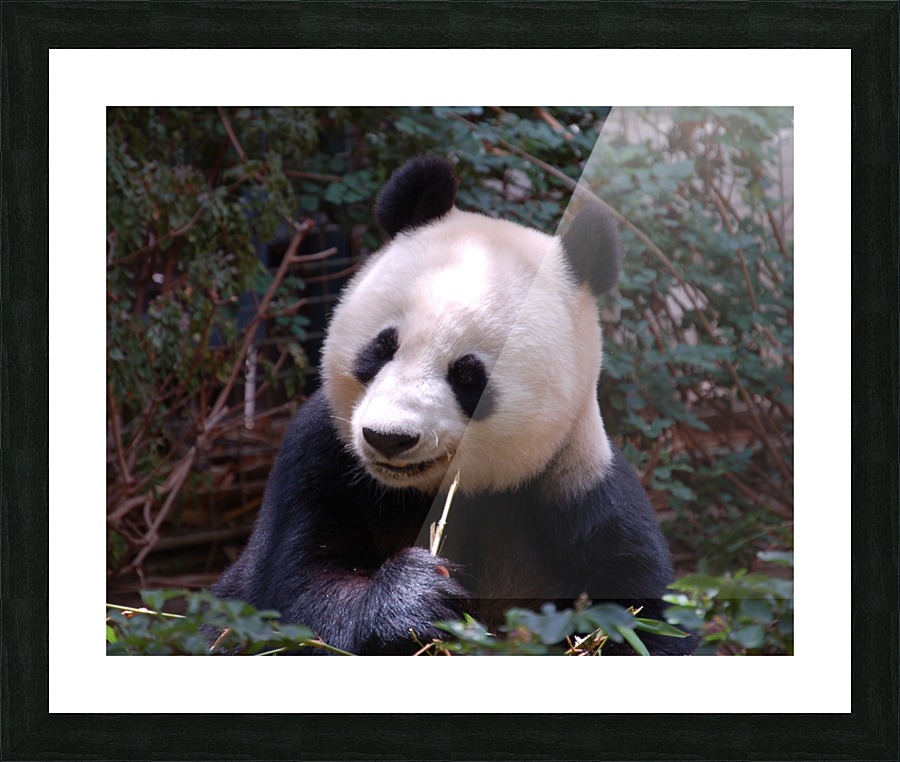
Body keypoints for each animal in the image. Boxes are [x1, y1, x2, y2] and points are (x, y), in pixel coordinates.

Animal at [212, 155, 697, 655]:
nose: (388, 438)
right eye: (381, 348)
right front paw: (416, 598)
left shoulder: (577, 489)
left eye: (467, 376)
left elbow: (643, 619)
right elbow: (293, 593)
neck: (433, 491)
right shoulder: (320, 462)